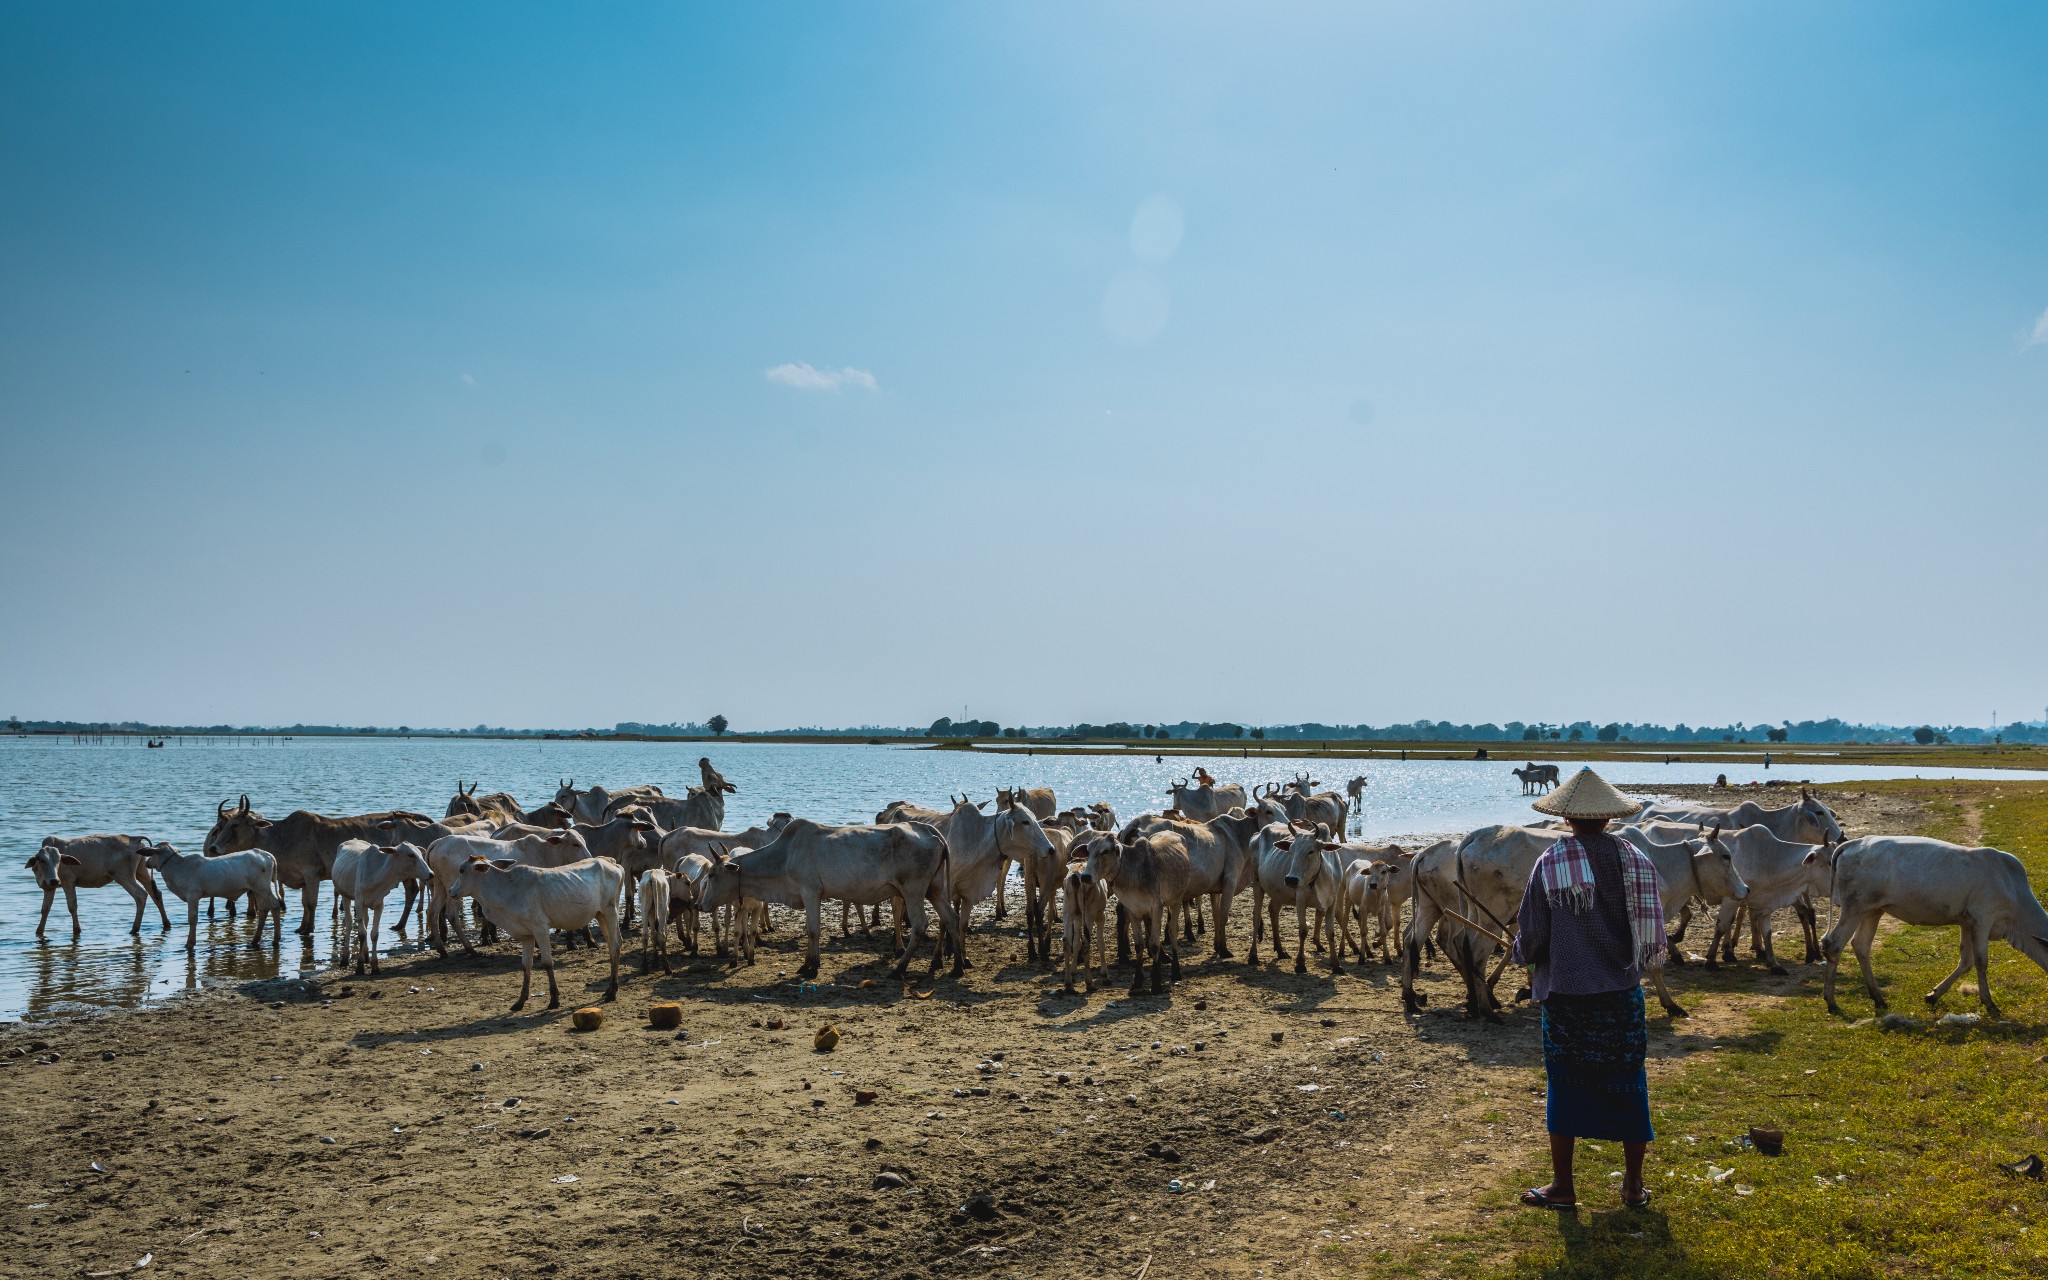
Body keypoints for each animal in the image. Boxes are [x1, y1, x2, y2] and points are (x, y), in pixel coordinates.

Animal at [454, 851, 622, 1011]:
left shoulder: (540, 928)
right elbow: (526, 965)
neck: (506, 888)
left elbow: (547, 963)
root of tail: (610, 862)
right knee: (612, 944)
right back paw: (608, 989)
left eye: (461, 870)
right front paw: (520, 1001)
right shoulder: (527, 935)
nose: (451, 890)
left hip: (610, 910)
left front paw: (554, 1000)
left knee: (615, 945)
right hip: (600, 914)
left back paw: (612, 992)